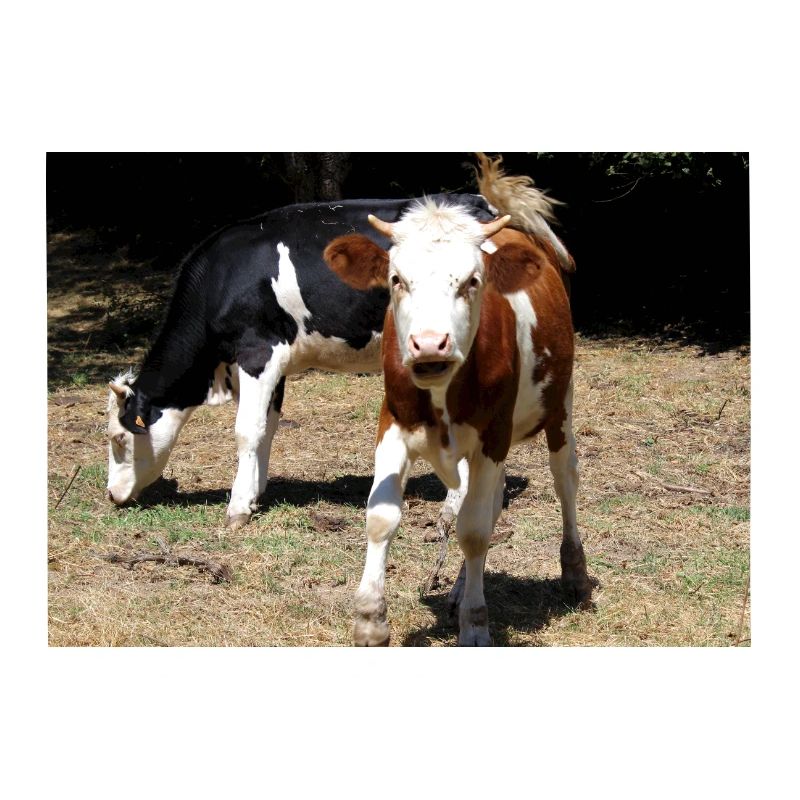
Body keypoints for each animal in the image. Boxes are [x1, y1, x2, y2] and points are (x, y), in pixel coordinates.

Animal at [106, 193, 500, 529]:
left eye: (119, 439)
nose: (112, 496)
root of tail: (475, 202)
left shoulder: (257, 353)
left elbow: (246, 430)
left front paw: (237, 508)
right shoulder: (273, 365)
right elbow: (267, 427)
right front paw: (255, 493)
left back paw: (453, 508)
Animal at [322, 155, 591, 645]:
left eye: (472, 281)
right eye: (396, 279)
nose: (430, 345)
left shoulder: (493, 436)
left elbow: (474, 531)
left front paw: (476, 624)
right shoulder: (392, 424)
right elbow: (382, 517)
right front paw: (370, 620)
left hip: (560, 405)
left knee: (565, 480)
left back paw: (575, 575)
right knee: (490, 499)